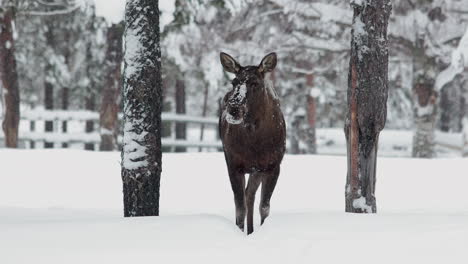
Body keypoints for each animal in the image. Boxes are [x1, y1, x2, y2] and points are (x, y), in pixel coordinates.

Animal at [218, 52, 286, 234]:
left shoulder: (273, 166)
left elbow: (264, 206)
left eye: (255, 83)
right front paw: (239, 232)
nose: (233, 109)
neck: (255, 145)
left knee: (250, 195)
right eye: (234, 82)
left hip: (258, 170)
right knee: (244, 197)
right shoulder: (233, 165)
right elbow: (239, 208)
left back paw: (251, 230)